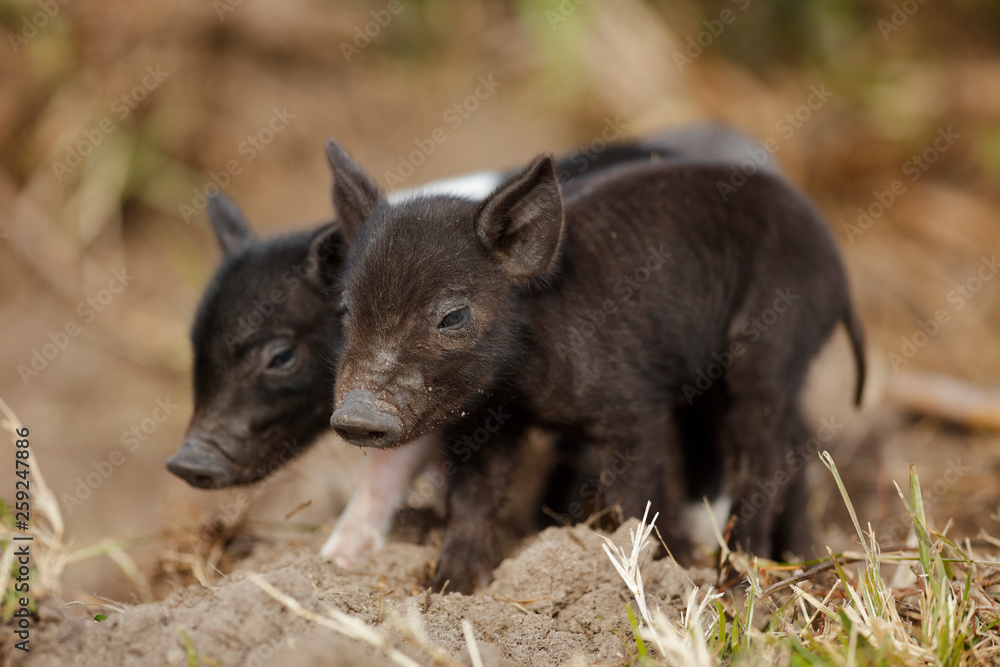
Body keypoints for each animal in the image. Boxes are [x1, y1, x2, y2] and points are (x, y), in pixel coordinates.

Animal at [324, 140, 865, 592]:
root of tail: (839, 269)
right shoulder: (488, 422)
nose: (355, 416)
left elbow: (634, 495)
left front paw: (647, 570)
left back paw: (737, 576)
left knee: (768, 451)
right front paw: (449, 590)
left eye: (452, 316)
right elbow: (474, 499)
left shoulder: (632, 409)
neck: (524, 385)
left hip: (777, 344)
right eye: (346, 310)